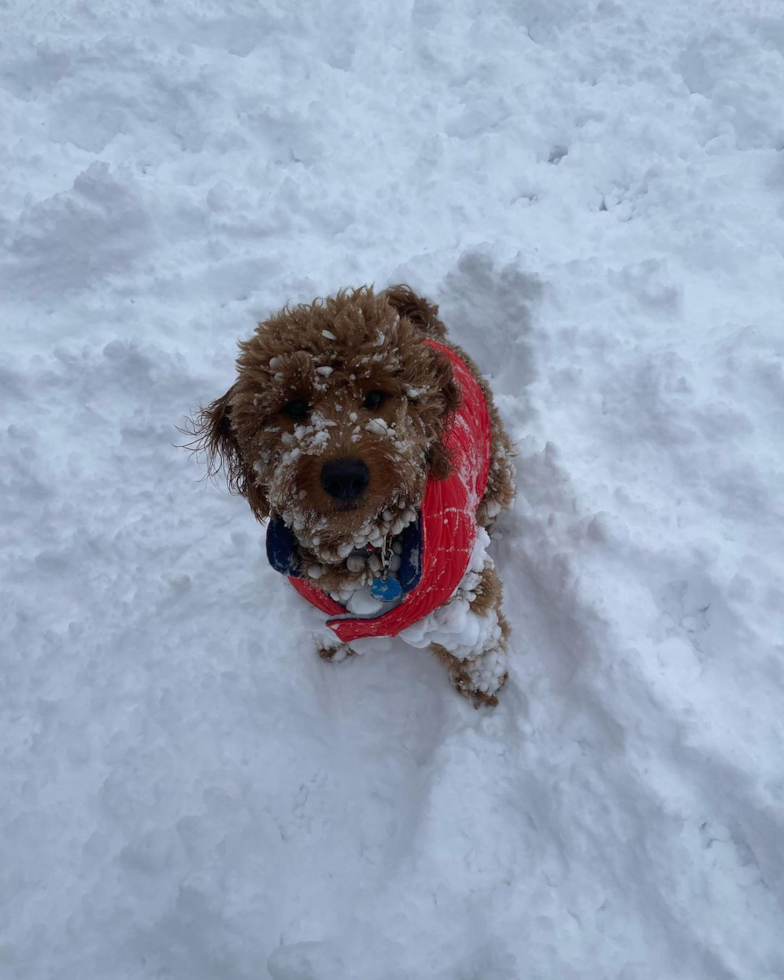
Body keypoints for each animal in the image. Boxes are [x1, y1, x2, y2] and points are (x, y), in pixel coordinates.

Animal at [193, 284, 516, 704]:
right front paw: (334, 646)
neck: (363, 545)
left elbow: (475, 642)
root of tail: (425, 329)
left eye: (376, 397)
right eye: (295, 406)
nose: (344, 476)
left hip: (495, 471)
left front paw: (484, 683)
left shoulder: (462, 589)